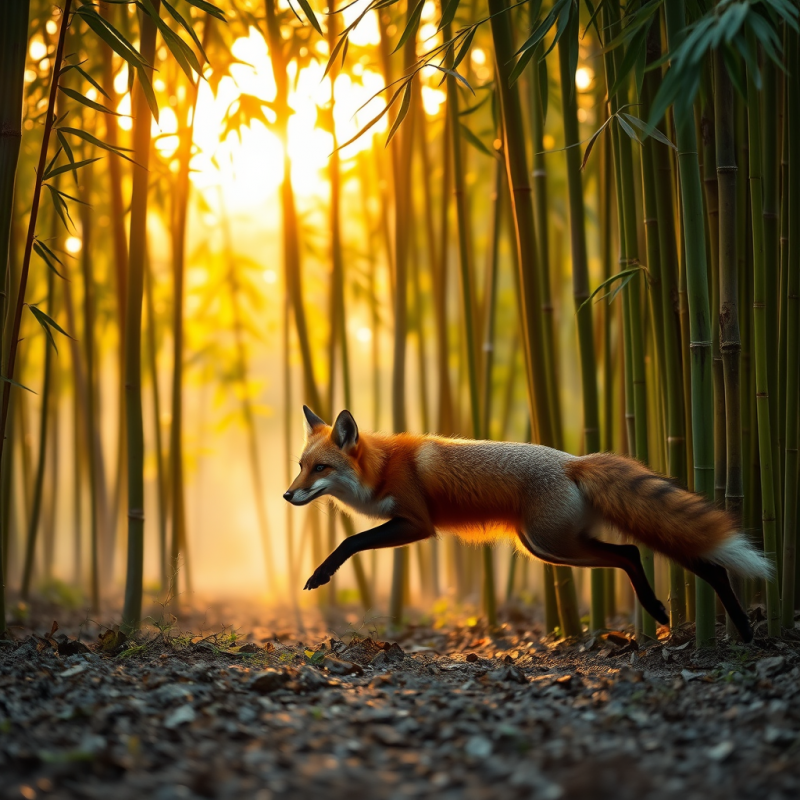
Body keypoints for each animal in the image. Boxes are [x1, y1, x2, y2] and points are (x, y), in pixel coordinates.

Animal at [284, 405, 773, 642]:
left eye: (320, 468)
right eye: (300, 467)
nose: (287, 496)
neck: (383, 468)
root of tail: (575, 461)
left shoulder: (417, 524)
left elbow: (350, 541)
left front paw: (320, 574)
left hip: (553, 544)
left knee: (642, 553)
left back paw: (727, 626)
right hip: (549, 547)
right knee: (638, 554)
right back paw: (691, 618)